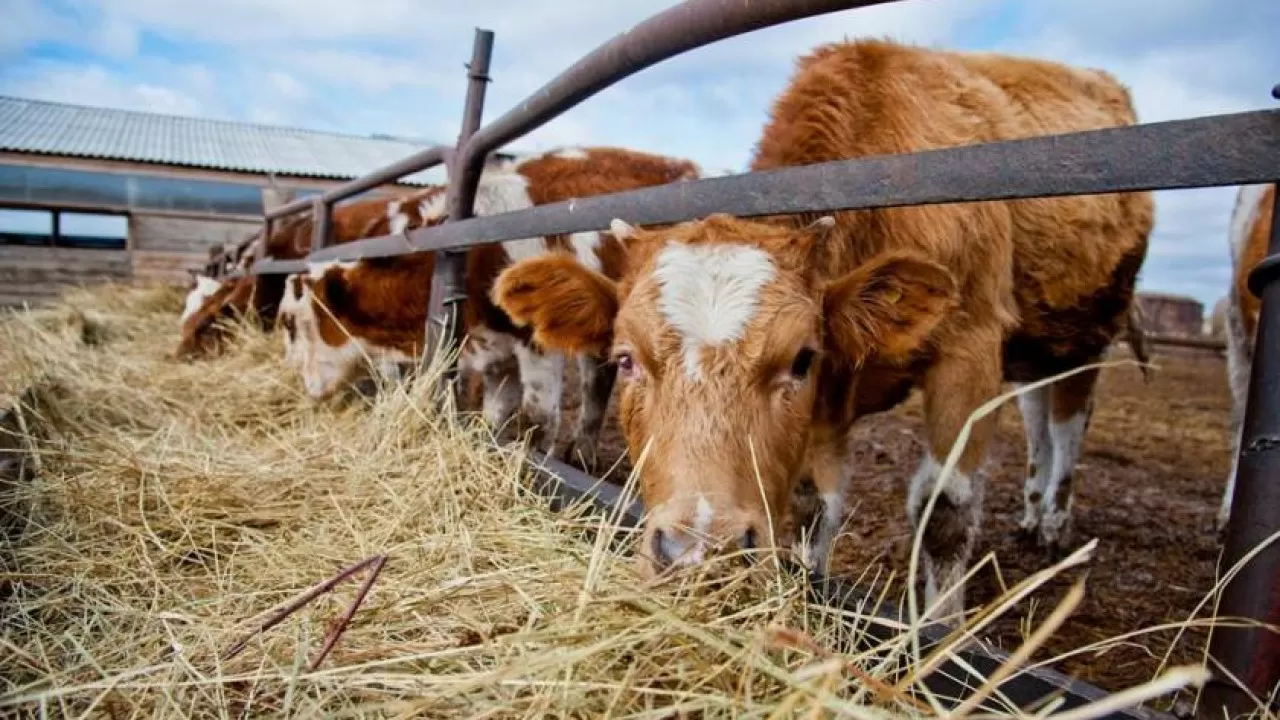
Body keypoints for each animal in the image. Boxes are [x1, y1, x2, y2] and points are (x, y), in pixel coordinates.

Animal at [282, 146, 701, 471]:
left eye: (299, 325)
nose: (308, 389)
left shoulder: (535, 343)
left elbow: (537, 419)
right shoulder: (496, 351)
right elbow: (494, 417)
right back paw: (582, 452)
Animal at [486, 36, 1152, 617]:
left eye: (800, 358)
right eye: (626, 359)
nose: (700, 554)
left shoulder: (969, 350)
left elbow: (945, 513)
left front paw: (939, 631)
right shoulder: (830, 402)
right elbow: (812, 506)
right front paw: (807, 588)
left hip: (1087, 333)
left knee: (1067, 421)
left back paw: (1054, 521)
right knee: (1040, 416)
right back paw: (1034, 511)